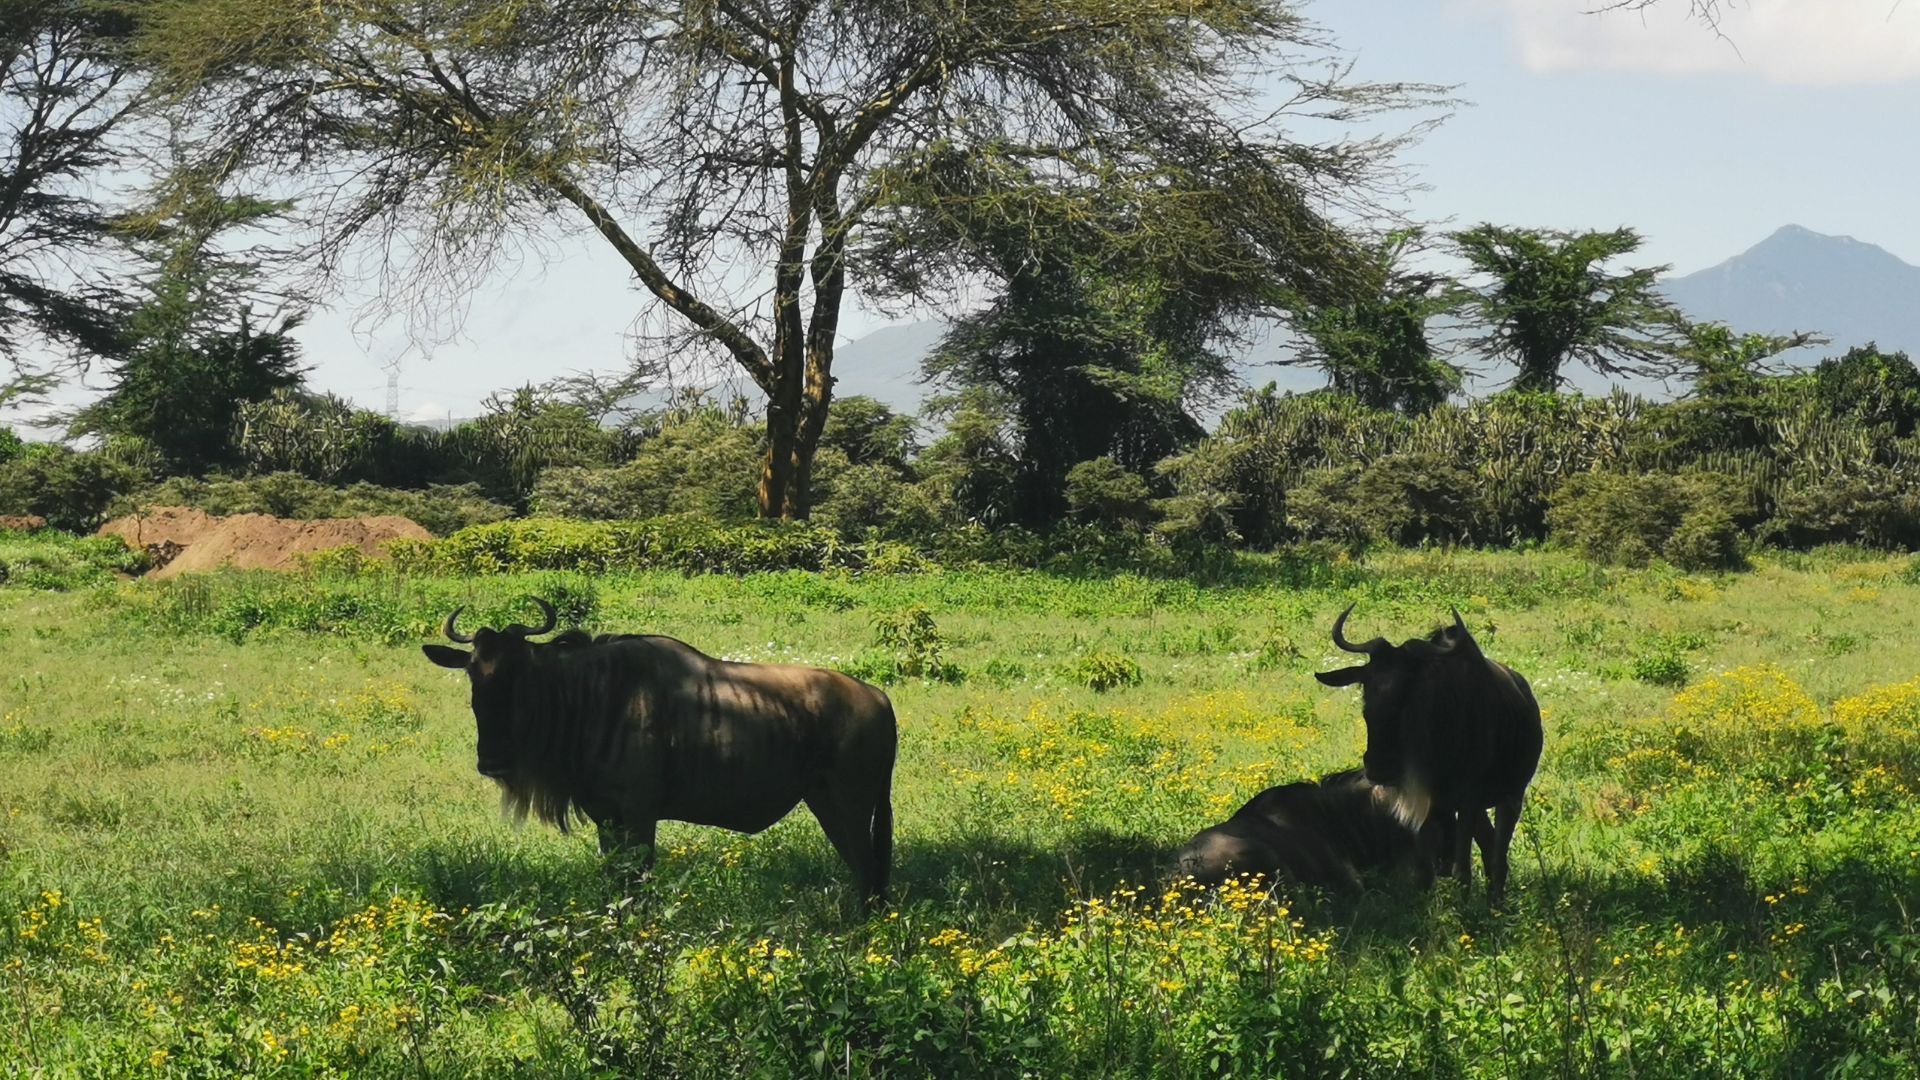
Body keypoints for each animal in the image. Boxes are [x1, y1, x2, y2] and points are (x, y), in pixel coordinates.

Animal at [422, 598, 898, 910]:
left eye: (522, 673)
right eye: (472, 672)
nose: (493, 760)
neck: (592, 698)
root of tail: (879, 698)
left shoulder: (638, 813)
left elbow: (638, 880)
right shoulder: (605, 815)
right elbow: (616, 879)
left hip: (848, 806)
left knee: (867, 868)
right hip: (829, 804)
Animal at [1312, 604, 1543, 906]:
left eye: (1409, 689)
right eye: (1365, 687)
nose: (1380, 767)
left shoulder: (1468, 800)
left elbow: (1461, 869)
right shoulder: (1430, 801)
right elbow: (1424, 872)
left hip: (1511, 796)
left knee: (1497, 856)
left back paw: (1496, 905)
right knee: (1490, 846)